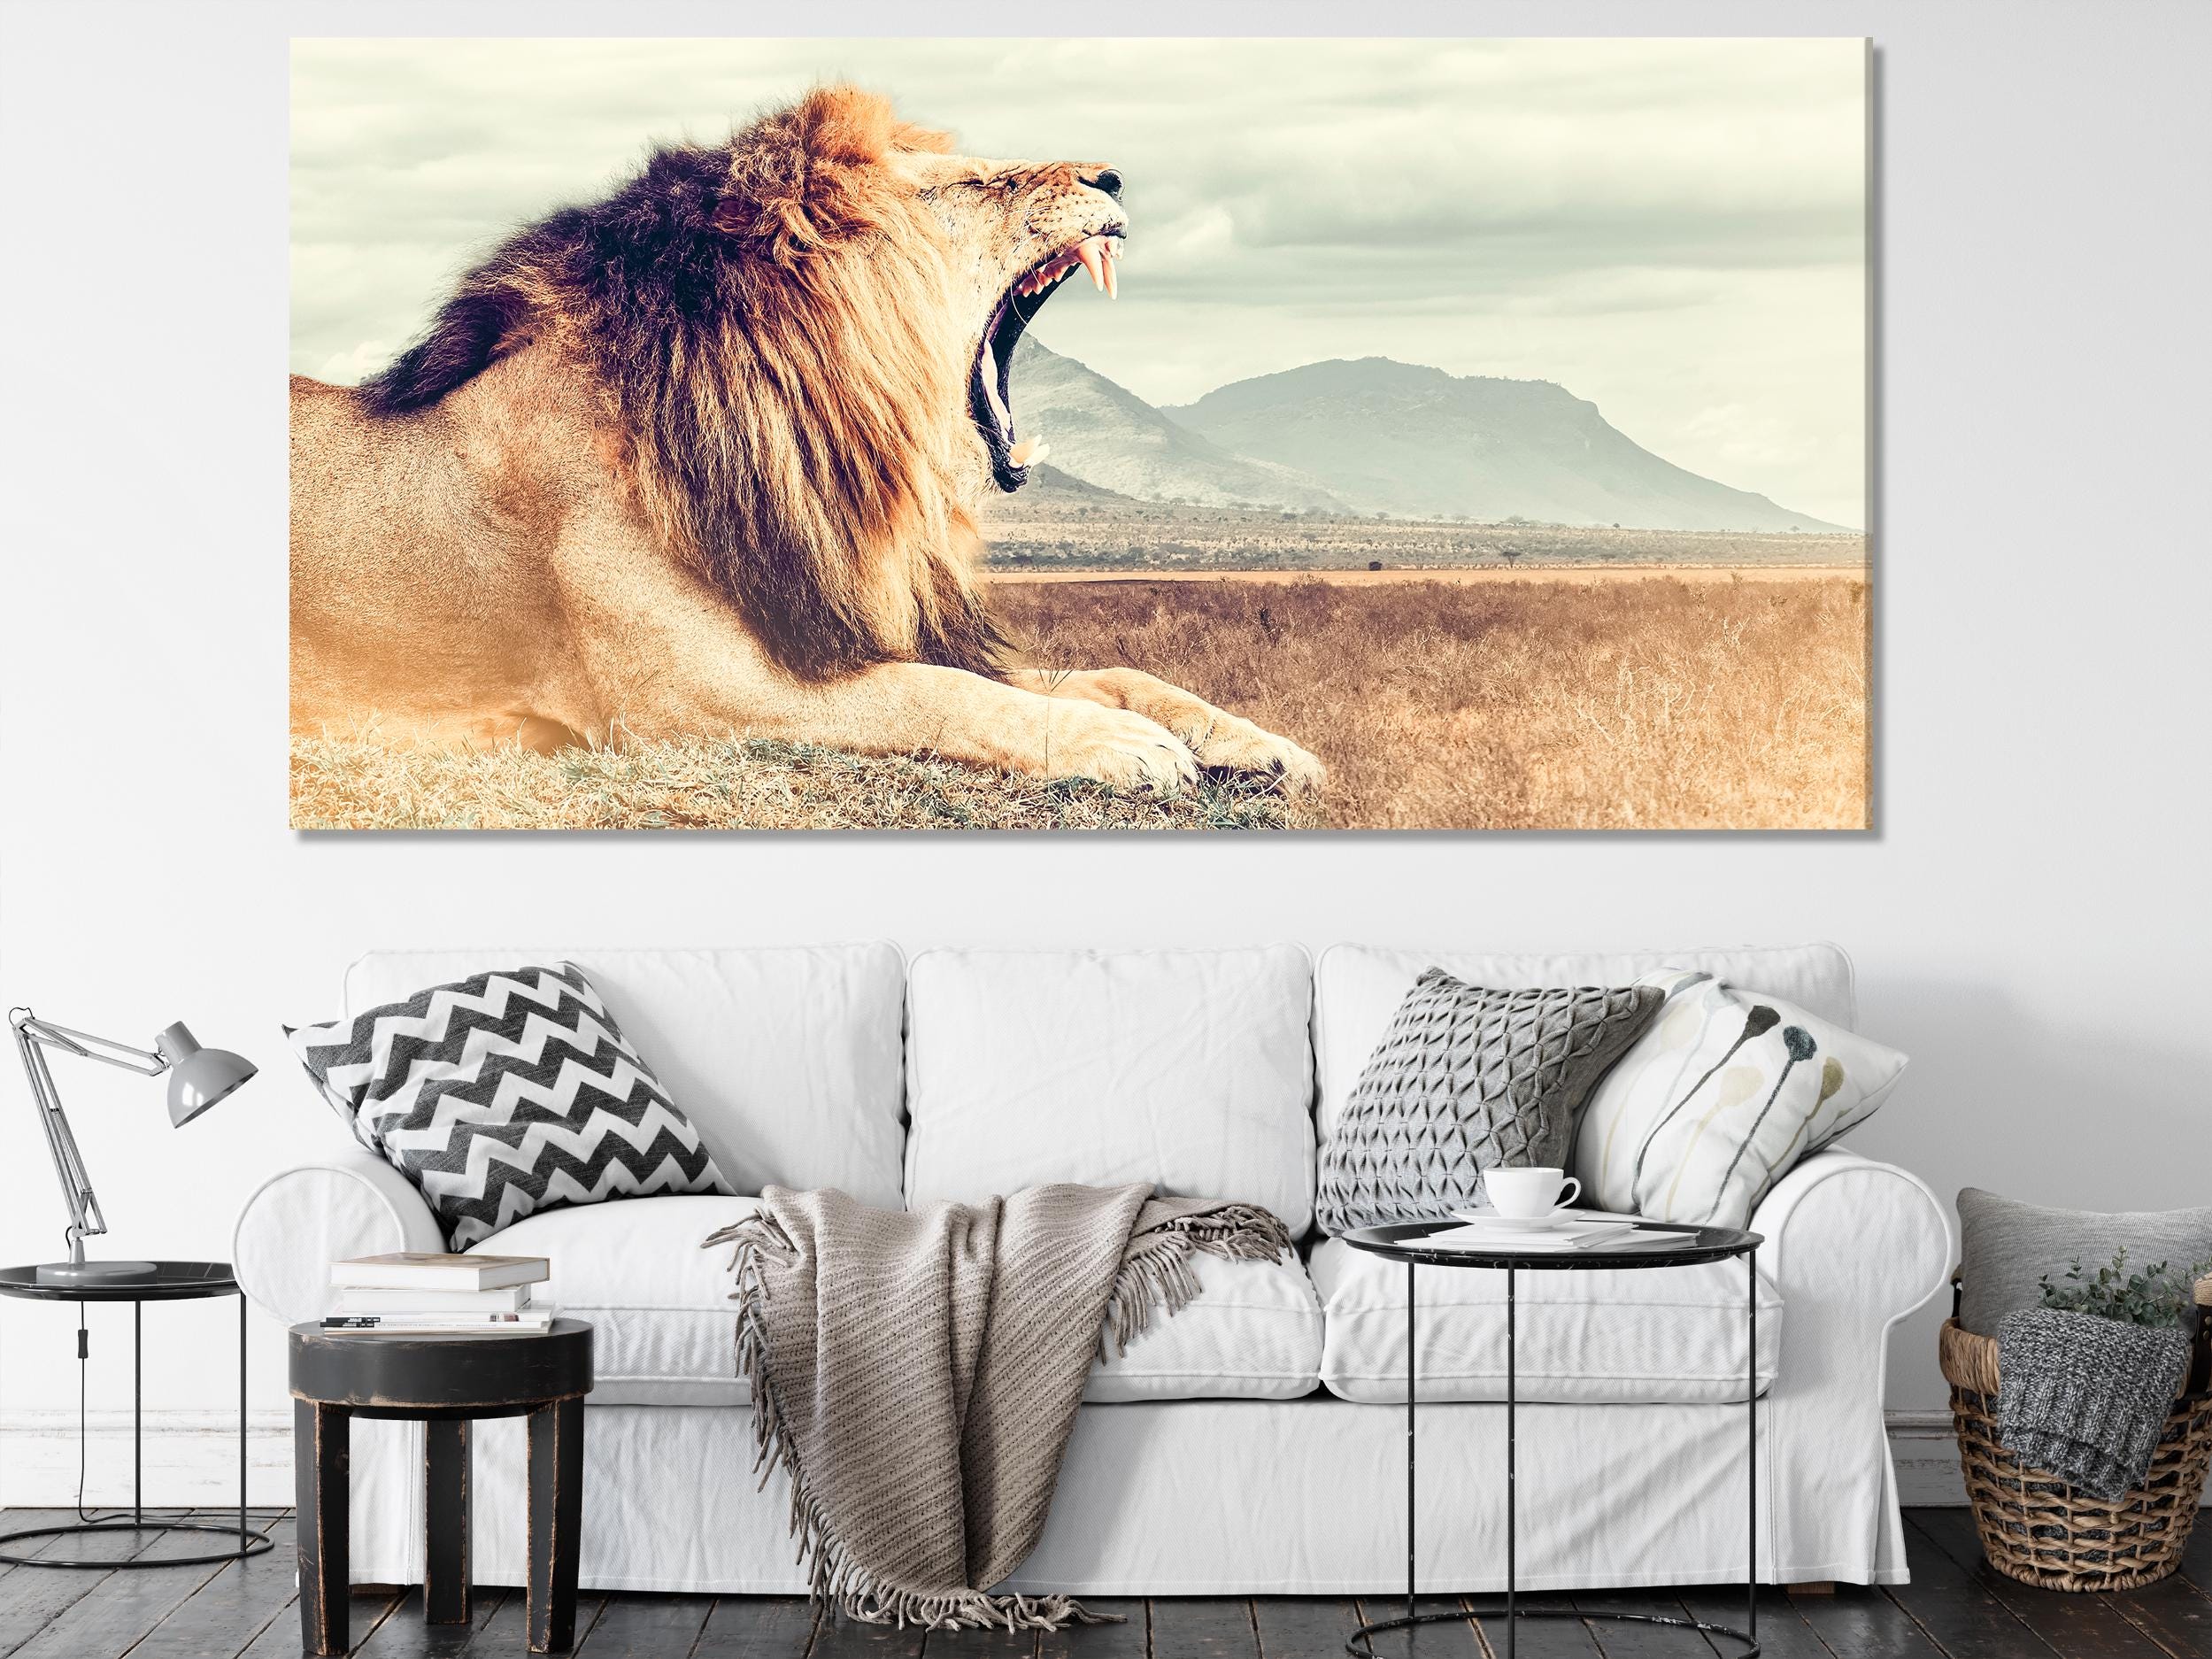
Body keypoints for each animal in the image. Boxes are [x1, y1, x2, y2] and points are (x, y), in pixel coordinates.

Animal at [290, 85, 1322, 797]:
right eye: (969, 184)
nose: (1110, 178)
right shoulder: (689, 697)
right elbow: (941, 694)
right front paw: (1118, 745)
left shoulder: (836, 624)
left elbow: (1110, 672)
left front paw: (1260, 741)